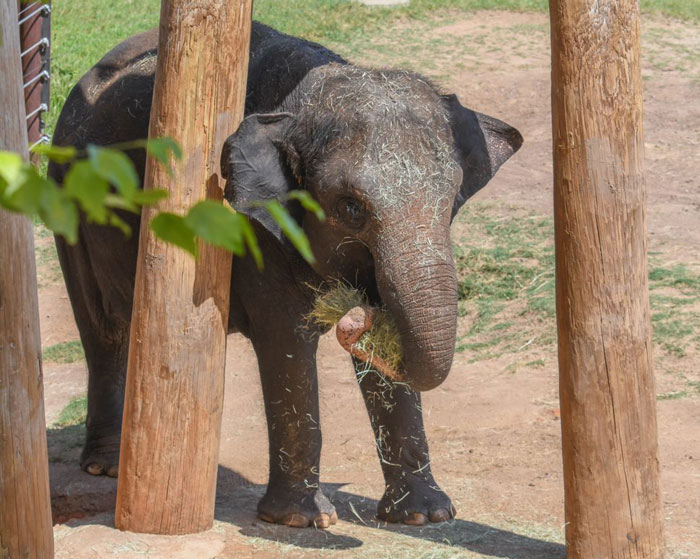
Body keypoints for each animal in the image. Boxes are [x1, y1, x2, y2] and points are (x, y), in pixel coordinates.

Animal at [47, 20, 520, 528]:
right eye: (350, 208)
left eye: (451, 197)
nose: (357, 315)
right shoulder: (251, 223)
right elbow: (286, 342)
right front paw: (303, 521)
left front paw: (425, 517)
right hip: (66, 198)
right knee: (103, 330)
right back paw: (107, 466)